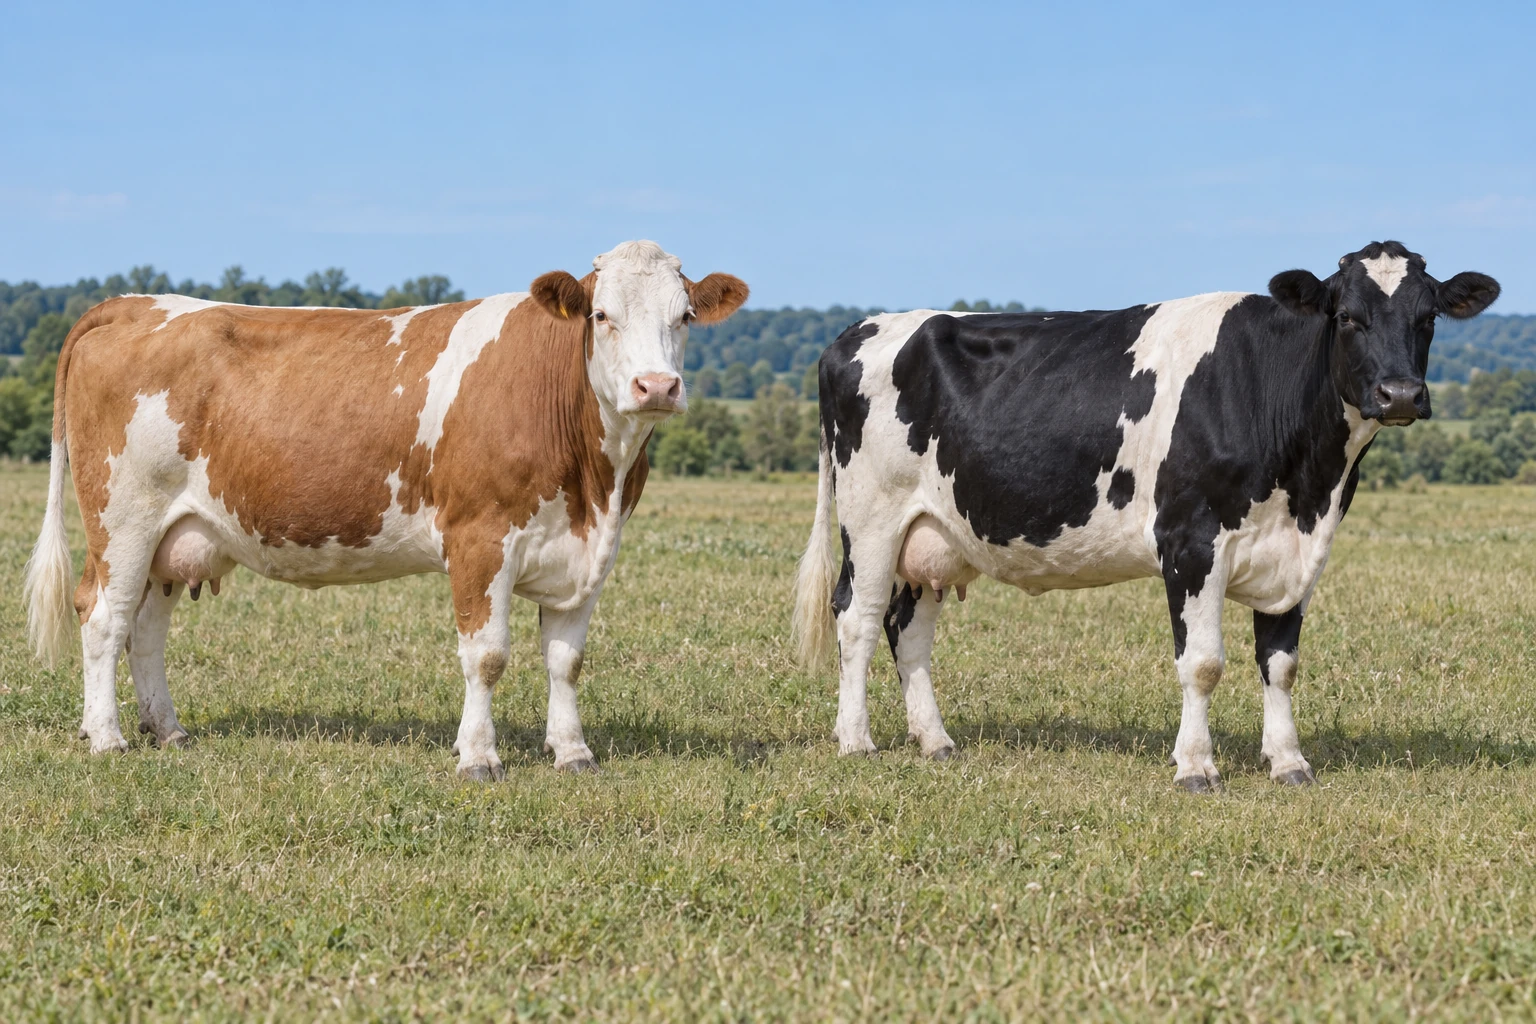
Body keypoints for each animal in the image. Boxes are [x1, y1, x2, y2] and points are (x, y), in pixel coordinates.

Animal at [23, 240, 748, 778]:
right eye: (601, 315)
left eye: (684, 317)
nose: (657, 386)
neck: (594, 483)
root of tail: (132, 302)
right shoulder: (479, 539)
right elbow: (486, 655)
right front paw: (478, 757)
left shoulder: (590, 552)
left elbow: (566, 660)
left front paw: (572, 752)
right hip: (123, 520)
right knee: (104, 617)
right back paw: (107, 736)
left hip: (175, 536)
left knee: (146, 628)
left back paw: (168, 730)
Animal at [792, 241, 1498, 790]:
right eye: (1348, 316)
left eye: (1428, 317)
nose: (1400, 394)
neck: (1308, 483)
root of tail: (854, 332)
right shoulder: (1189, 542)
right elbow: (1203, 663)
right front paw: (1196, 768)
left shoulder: (1298, 552)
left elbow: (1281, 662)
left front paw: (1288, 762)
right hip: (872, 518)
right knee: (857, 617)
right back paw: (856, 740)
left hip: (933, 534)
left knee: (907, 628)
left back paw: (936, 741)